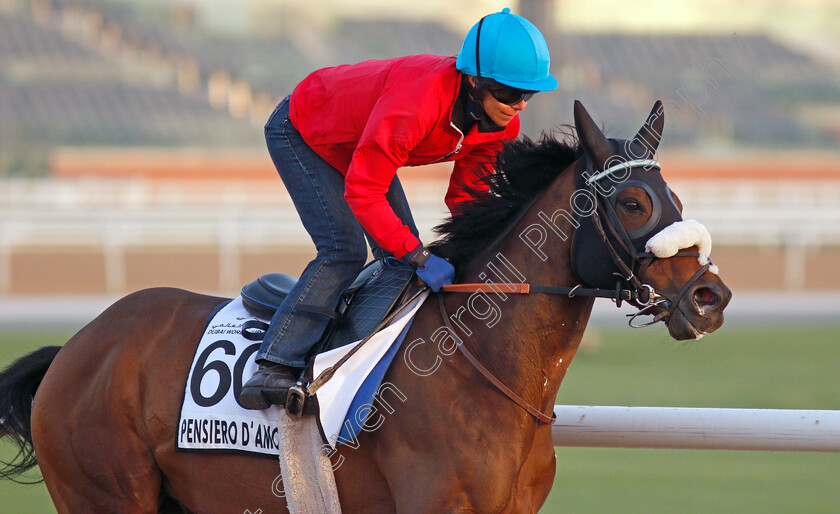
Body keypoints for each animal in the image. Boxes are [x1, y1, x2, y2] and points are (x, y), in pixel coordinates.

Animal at [0, 99, 728, 508]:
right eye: (632, 203)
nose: (710, 296)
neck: (479, 367)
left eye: (675, 200)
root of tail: (78, 346)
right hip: (104, 493)